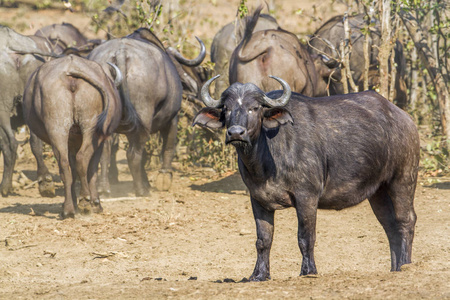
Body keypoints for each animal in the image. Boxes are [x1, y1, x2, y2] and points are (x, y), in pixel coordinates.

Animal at [22, 54, 123, 218]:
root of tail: (71, 71)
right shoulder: (99, 143)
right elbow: (91, 170)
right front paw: (95, 203)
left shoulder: (71, 143)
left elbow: (73, 171)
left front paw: (73, 203)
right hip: (92, 130)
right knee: (82, 159)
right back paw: (85, 201)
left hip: (57, 128)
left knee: (64, 166)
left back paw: (68, 209)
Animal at [195, 74, 420, 278]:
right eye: (227, 108)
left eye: (255, 108)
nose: (236, 133)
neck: (266, 161)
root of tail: (405, 119)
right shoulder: (258, 199)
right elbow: (263, 240)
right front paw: (258, 274)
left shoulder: (307, 197)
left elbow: (305, 237)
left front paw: (308, 271)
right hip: (378, 191)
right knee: (390, 225)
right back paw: (394, 268)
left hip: (403, 179)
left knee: (405, 220)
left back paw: (405, 264)